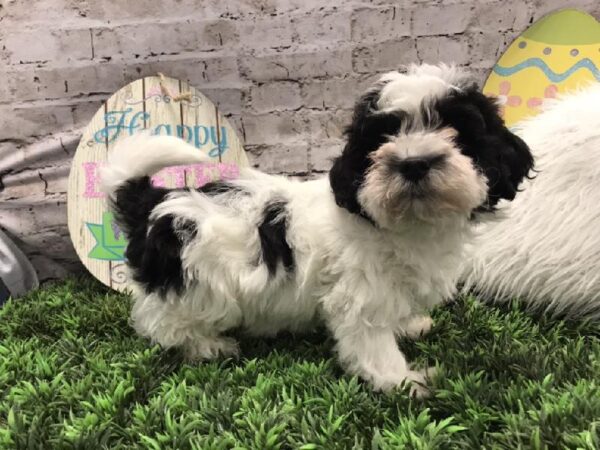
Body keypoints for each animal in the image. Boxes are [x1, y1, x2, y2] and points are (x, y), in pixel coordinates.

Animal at [103, 63, 536, 394]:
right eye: (382, 138)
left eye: (457, 133)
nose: (413, 163)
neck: (406, 224)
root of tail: (152, 202)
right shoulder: (361, 295)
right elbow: (372, 341)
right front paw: (401, 381)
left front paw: (410, 325)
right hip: (195, 285)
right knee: (159, 322)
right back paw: (207, 345)